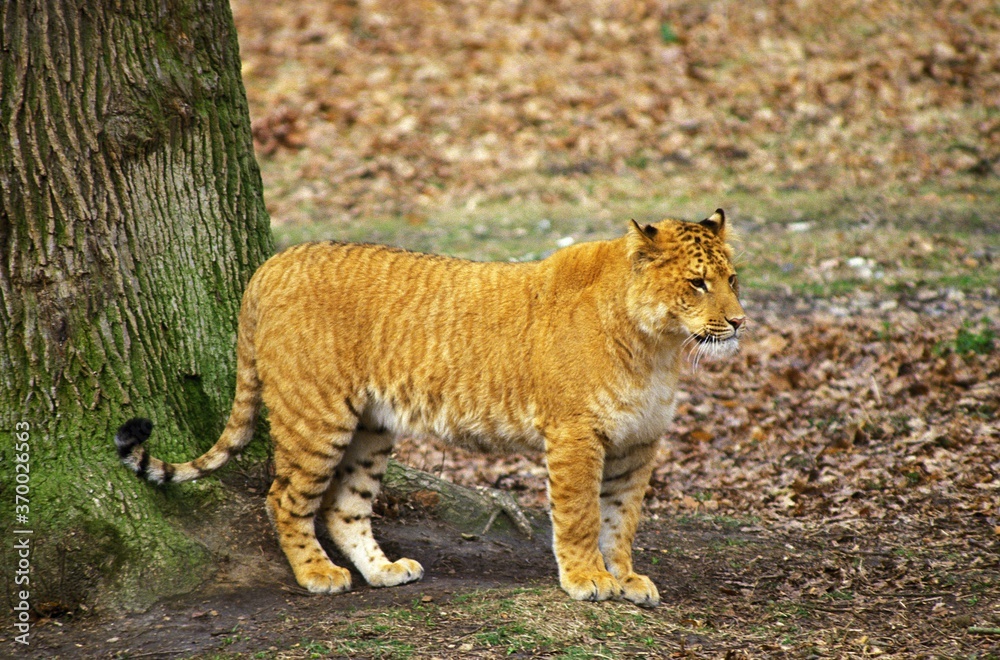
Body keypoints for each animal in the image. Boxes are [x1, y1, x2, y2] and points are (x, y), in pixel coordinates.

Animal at [115, 209, 746, 608]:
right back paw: (319, 575)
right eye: (697, 283)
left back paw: (384, 572)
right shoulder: (575, 434)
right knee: (285, 498)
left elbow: (622, 519)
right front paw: (588, 580)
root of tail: (272, 264)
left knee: (345, 507)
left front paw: (627, 577)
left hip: (371, 428)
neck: (657, 347)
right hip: (316, 417)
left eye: (733, 279)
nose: (740, 321)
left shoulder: (639, 442)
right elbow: (581, 515)